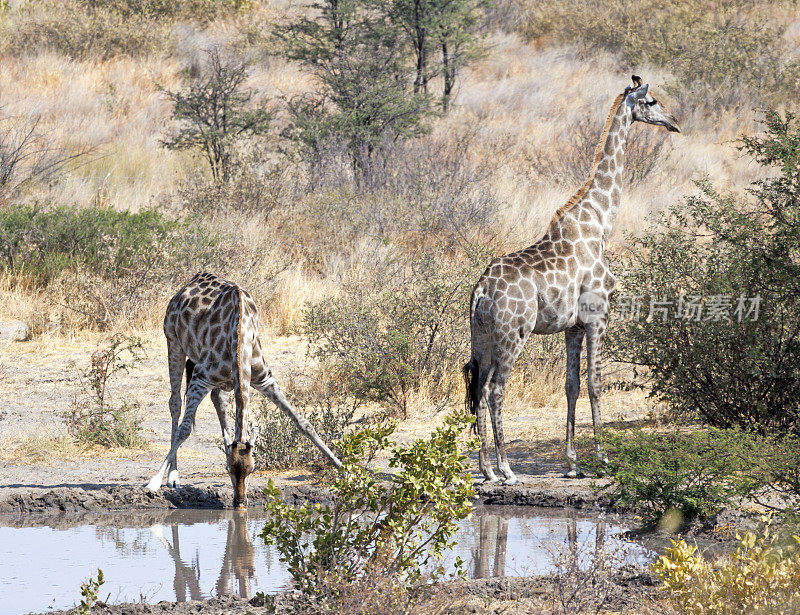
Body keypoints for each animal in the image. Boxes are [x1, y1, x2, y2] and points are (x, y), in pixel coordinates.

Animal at [147, 272, 340, 508]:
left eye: (252, 469)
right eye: (227, 469)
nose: (239, 501)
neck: (241, 336)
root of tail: (189, 283)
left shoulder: (264, 379)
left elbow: (303, 423)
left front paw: (345, 469)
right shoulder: (201, 378)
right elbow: (184, 430)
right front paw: (155, 481)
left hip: (219, 380)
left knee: (218, 400)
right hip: (173, 343)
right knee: (175, 403)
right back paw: (173, 476)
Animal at [462, 74, 680, 484]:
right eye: (653, 101)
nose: (674, 122)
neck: (600, 223)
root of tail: (481, 291)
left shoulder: (573, 327)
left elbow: (571, 386)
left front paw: (572, 462)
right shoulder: (598, 316)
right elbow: (595, 384)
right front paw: (603, 458)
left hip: (480, 335)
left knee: (479, 387)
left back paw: (487, 470)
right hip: (513, 333)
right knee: (496, 390)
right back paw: (507, 468)